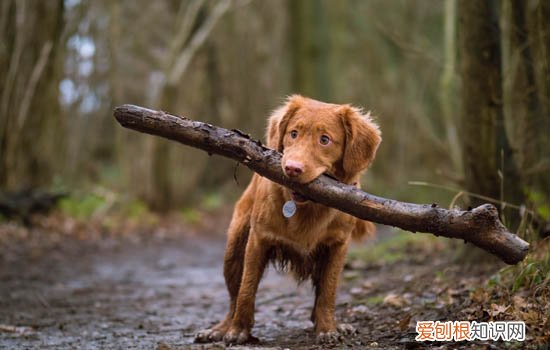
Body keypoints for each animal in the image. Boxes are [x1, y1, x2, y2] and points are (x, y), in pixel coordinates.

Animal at [196, 95, 382, 344]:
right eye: (293, 133)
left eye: (325, 140)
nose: (292, 168)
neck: (307, 207)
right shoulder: (258, 239)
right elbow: (246, 289)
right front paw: (238, 330)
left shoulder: (337, 246)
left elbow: (328, 292)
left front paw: (327, 328)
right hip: (234, 249)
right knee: (234, 296)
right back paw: (221, 328)